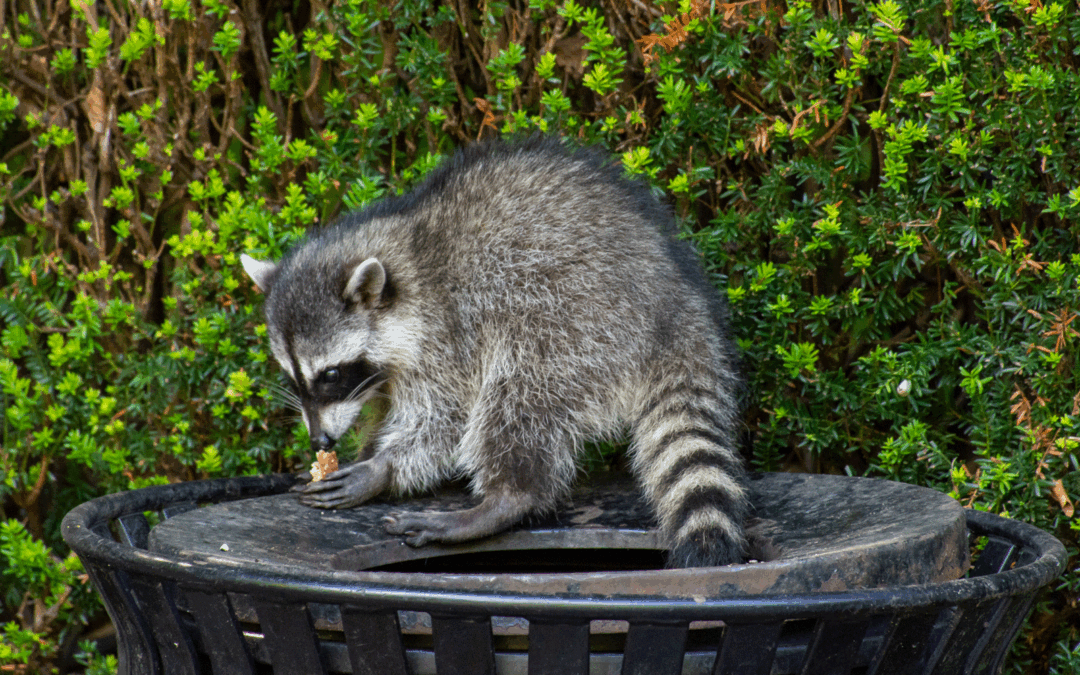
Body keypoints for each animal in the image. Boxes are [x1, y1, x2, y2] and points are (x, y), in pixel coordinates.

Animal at [241, 136, 747, 567]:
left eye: (330, 374)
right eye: (293, 378)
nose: (319, 442)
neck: (407, 255)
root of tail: (676, 306)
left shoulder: (448, 334)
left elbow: (443, 420)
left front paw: (381, 468)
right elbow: (385, 411)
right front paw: (365, 451)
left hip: (578, 321)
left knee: (519, 394)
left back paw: (505, 498)